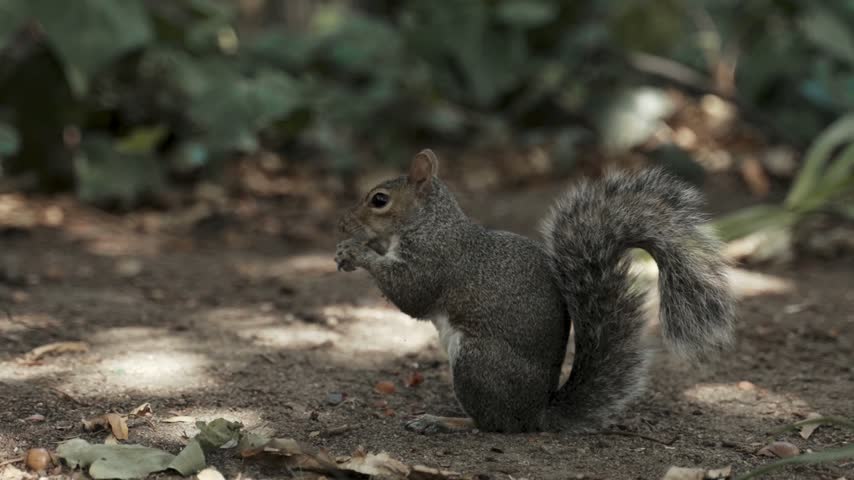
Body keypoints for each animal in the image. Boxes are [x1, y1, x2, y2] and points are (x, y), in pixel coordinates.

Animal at [335, 149, 735, 434]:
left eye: (379, 200)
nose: (343, 222)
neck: (430, 223)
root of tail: (537, 414)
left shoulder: (434, 262)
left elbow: (411, 294)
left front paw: (356, 252)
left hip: (477, 361)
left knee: (494, 425)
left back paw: (443, 421)